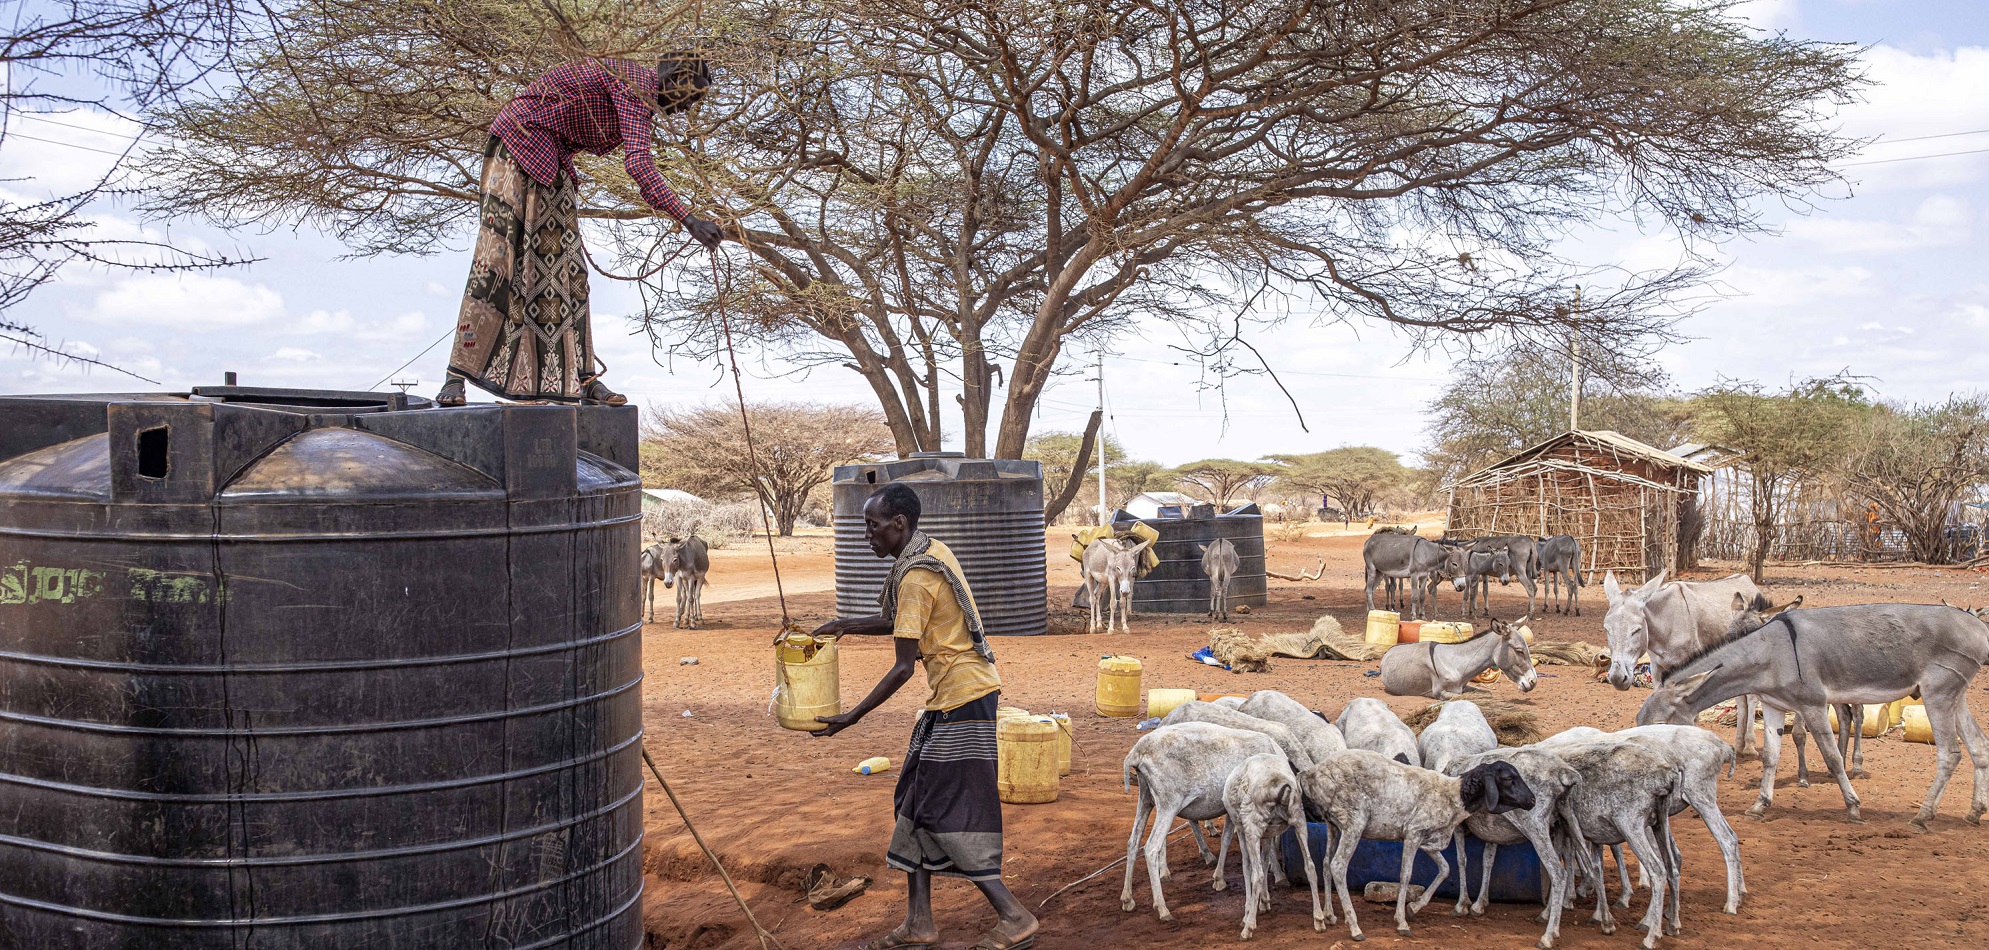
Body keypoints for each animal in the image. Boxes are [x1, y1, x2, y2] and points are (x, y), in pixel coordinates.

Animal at [1129, 719, 1280, 922]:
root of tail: (1137, 752)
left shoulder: (1231, 810)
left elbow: (1226, 840)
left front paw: (1219, 878)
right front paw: (1264, 897)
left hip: (1145, 799)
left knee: (1133, 842)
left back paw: (1127, 899)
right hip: (1169, 803)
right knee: (1151, 847)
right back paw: (1162, 908)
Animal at [1288, 751, 1535, 942]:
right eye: (1509, 778)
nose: (1532, 800)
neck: (1453, 795)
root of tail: (1310, 774)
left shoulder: (1430, 841)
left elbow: (1445, 869)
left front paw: (1414, 907)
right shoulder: (1413, 833)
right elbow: (1406, 875)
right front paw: (1402, 922)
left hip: (1333, 825)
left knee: (1326, 864)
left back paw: (1329, 916)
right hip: (1354, 821)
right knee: (1338, 866)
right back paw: (1354, 927)